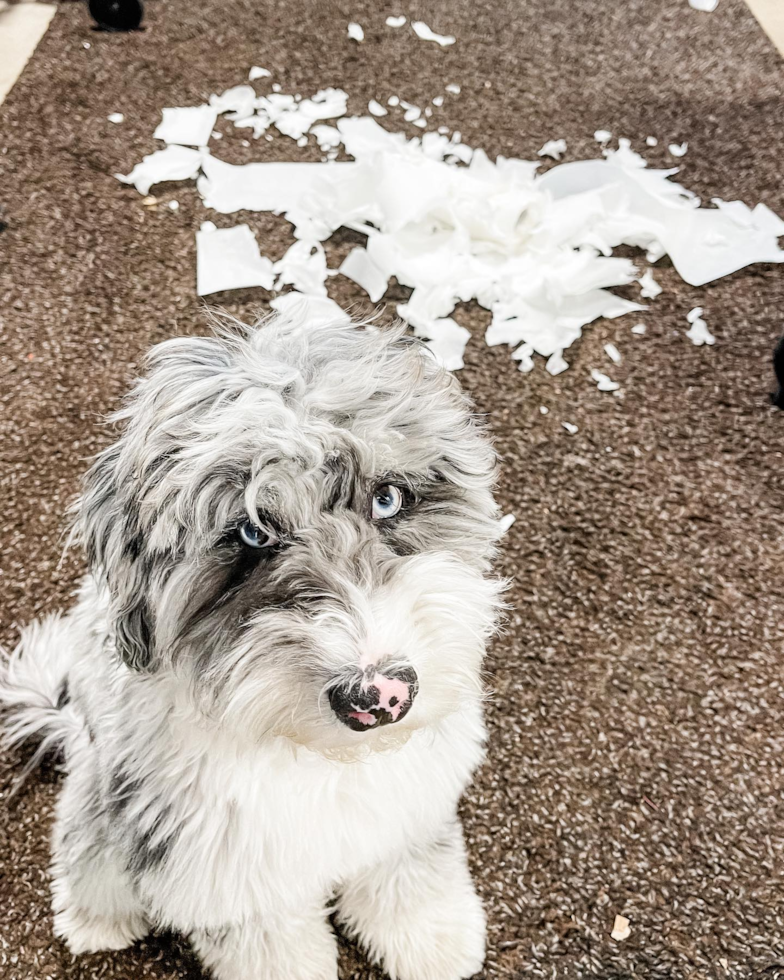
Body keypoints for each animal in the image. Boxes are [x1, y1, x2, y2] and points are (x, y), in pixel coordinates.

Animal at [0, 308, 502, 980]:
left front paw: (434, 938)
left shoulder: (408, 809)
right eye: (252, 534)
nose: (380, 696)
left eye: (388, 498)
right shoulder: (229, 876)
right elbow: (273, 948)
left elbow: (410, 874)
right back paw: (94, 922)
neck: (322, 756)